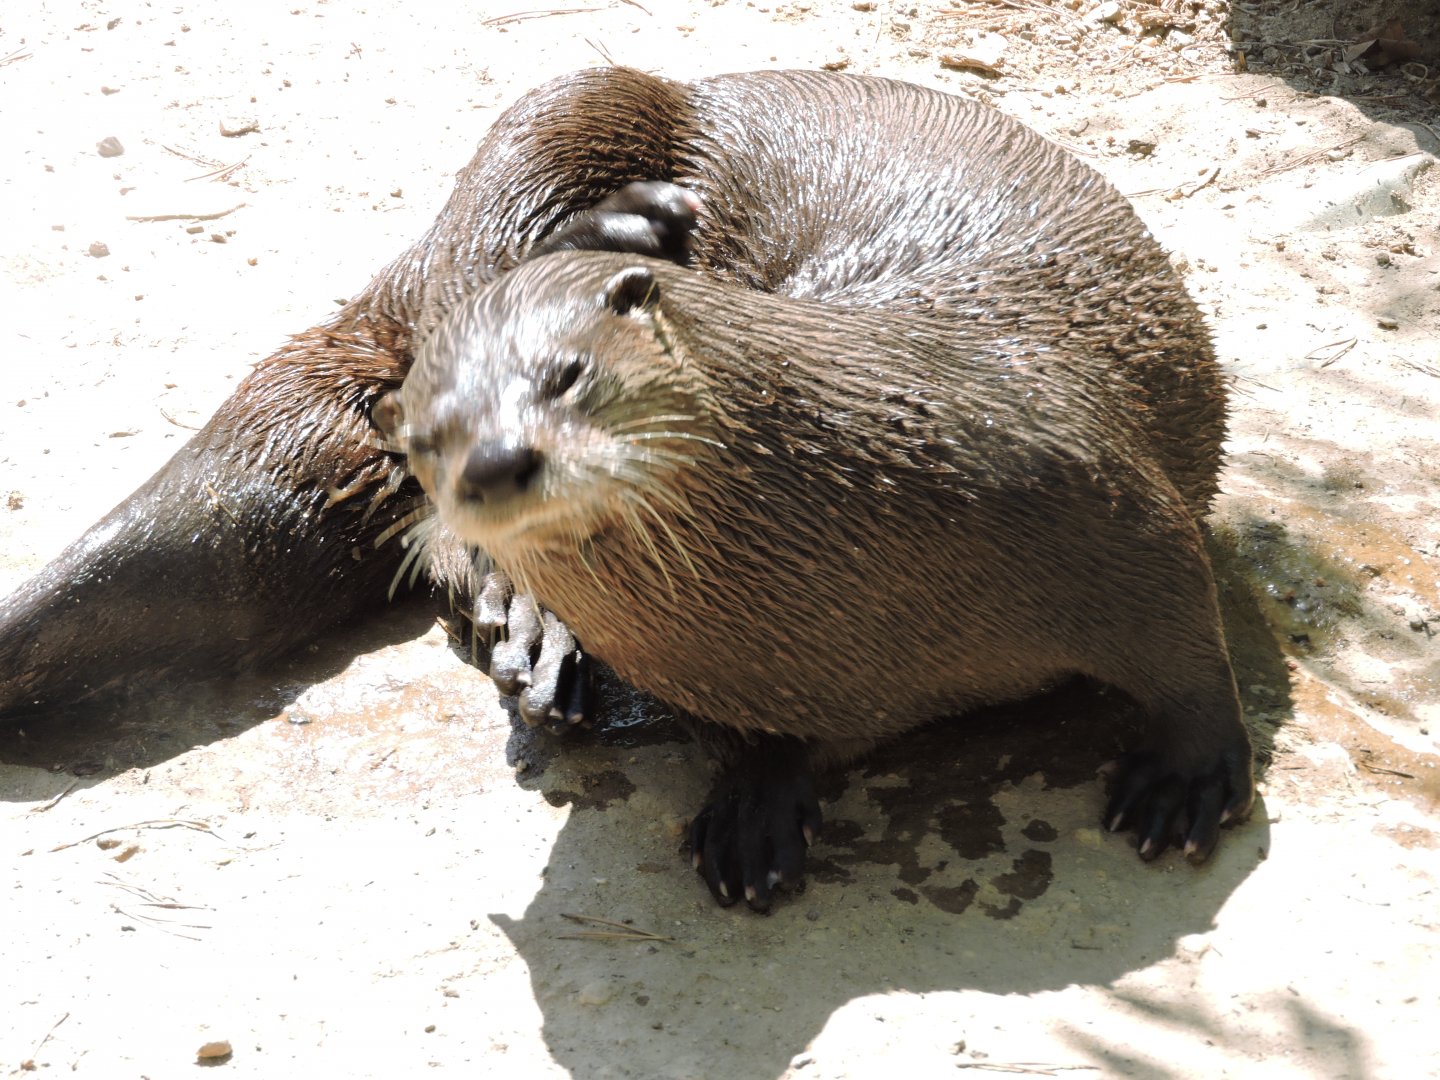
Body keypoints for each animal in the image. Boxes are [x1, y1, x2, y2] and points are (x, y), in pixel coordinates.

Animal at [1, 68, 1252, 910]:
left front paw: (1191, 778)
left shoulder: (1102, 505)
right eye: (437, 436)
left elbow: (1189, 631)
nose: (499, 463)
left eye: (569, 376)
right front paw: (755, 803)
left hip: (580, 104)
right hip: (543, 135)